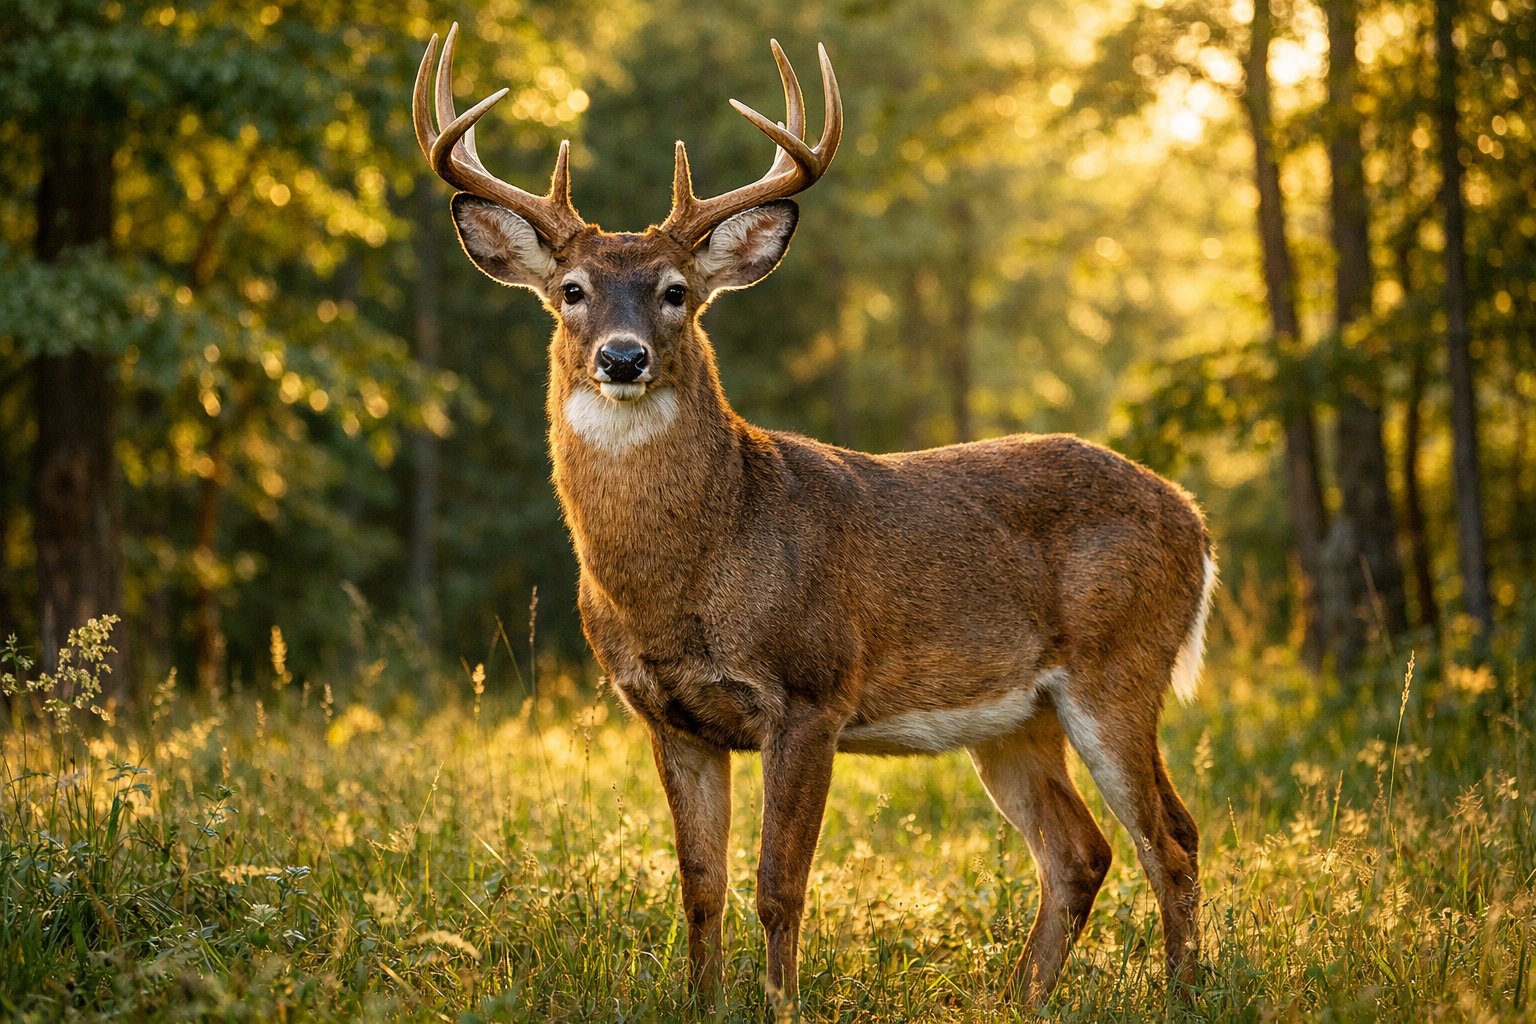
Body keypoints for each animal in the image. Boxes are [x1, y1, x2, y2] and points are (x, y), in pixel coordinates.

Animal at [413, 24, 1217, 1010]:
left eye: (676, 290)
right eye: (571, 288)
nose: (623, 356)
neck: (693, 570)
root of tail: (1193, 520)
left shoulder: (810, 692)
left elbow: (778, 884)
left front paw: (780, 1006)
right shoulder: (669, 716)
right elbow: (700, 884)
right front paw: (702, 1004)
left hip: (1120, 665)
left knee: (1170, 838)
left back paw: (1180, 994)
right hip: (1013, 718)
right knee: (1080, 851)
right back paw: (1018, 999)